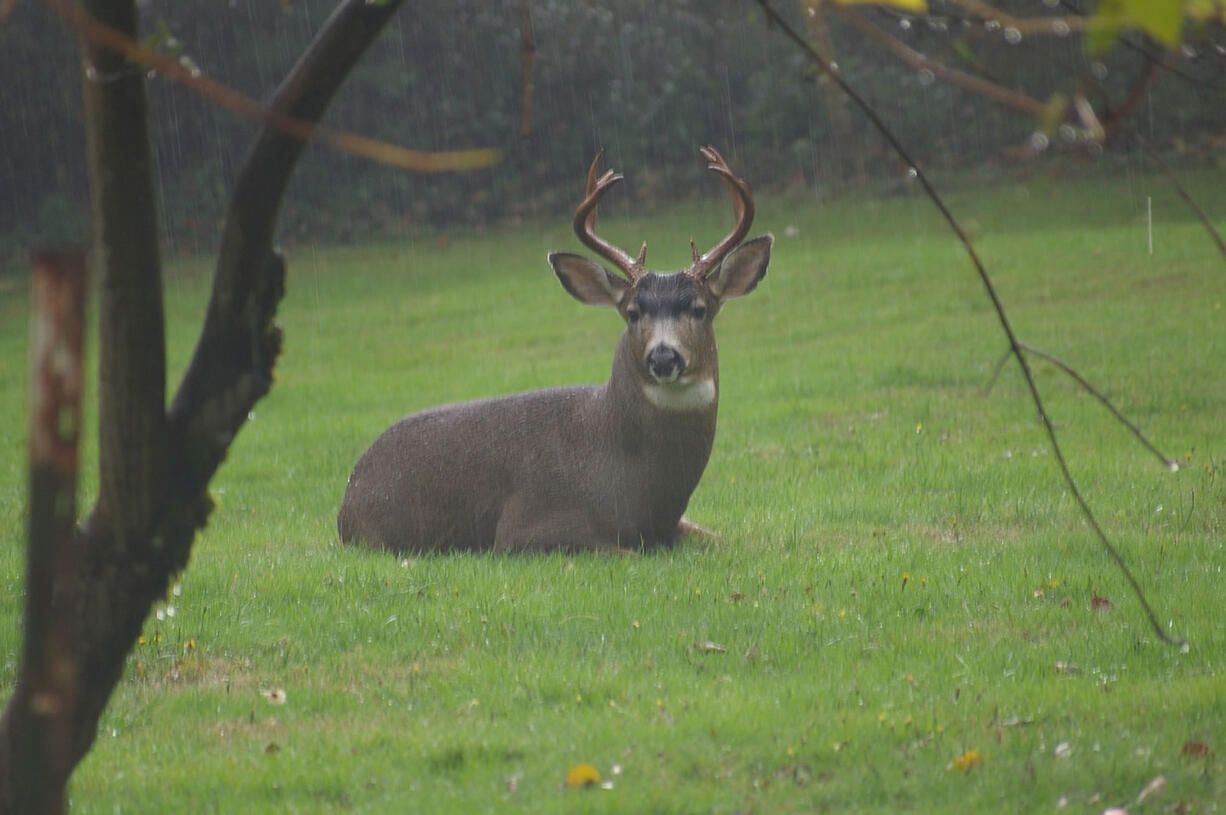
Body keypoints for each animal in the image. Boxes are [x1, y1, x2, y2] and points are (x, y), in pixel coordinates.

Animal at [340, 146, 769, 553]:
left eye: (699, 309)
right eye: (632, 312)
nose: (663, 356)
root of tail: (346, 500)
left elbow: (726, 539)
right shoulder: (524, 527)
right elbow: (621, 551)